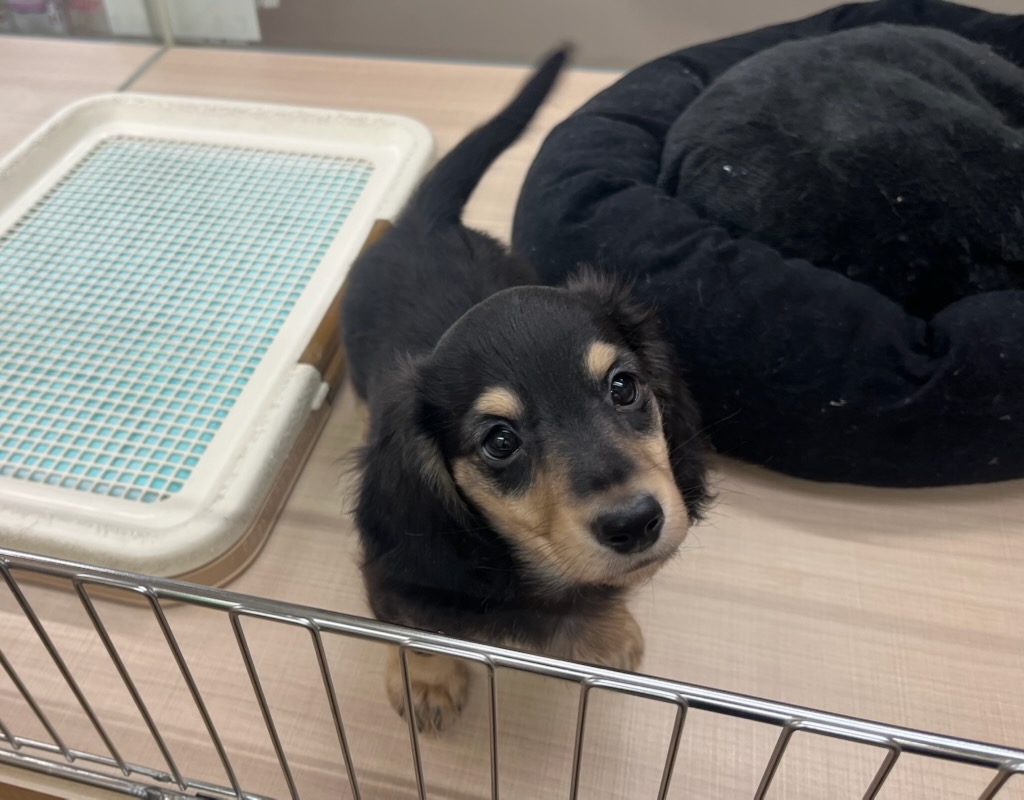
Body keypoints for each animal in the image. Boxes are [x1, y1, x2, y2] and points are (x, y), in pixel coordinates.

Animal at [340, 46, 709, 733]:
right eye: (500, 441)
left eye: (624, 387)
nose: (635, 524)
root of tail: (422, 221)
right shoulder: (392, 581)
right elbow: (417, 633)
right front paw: (428, 681)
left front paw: (608, 631)